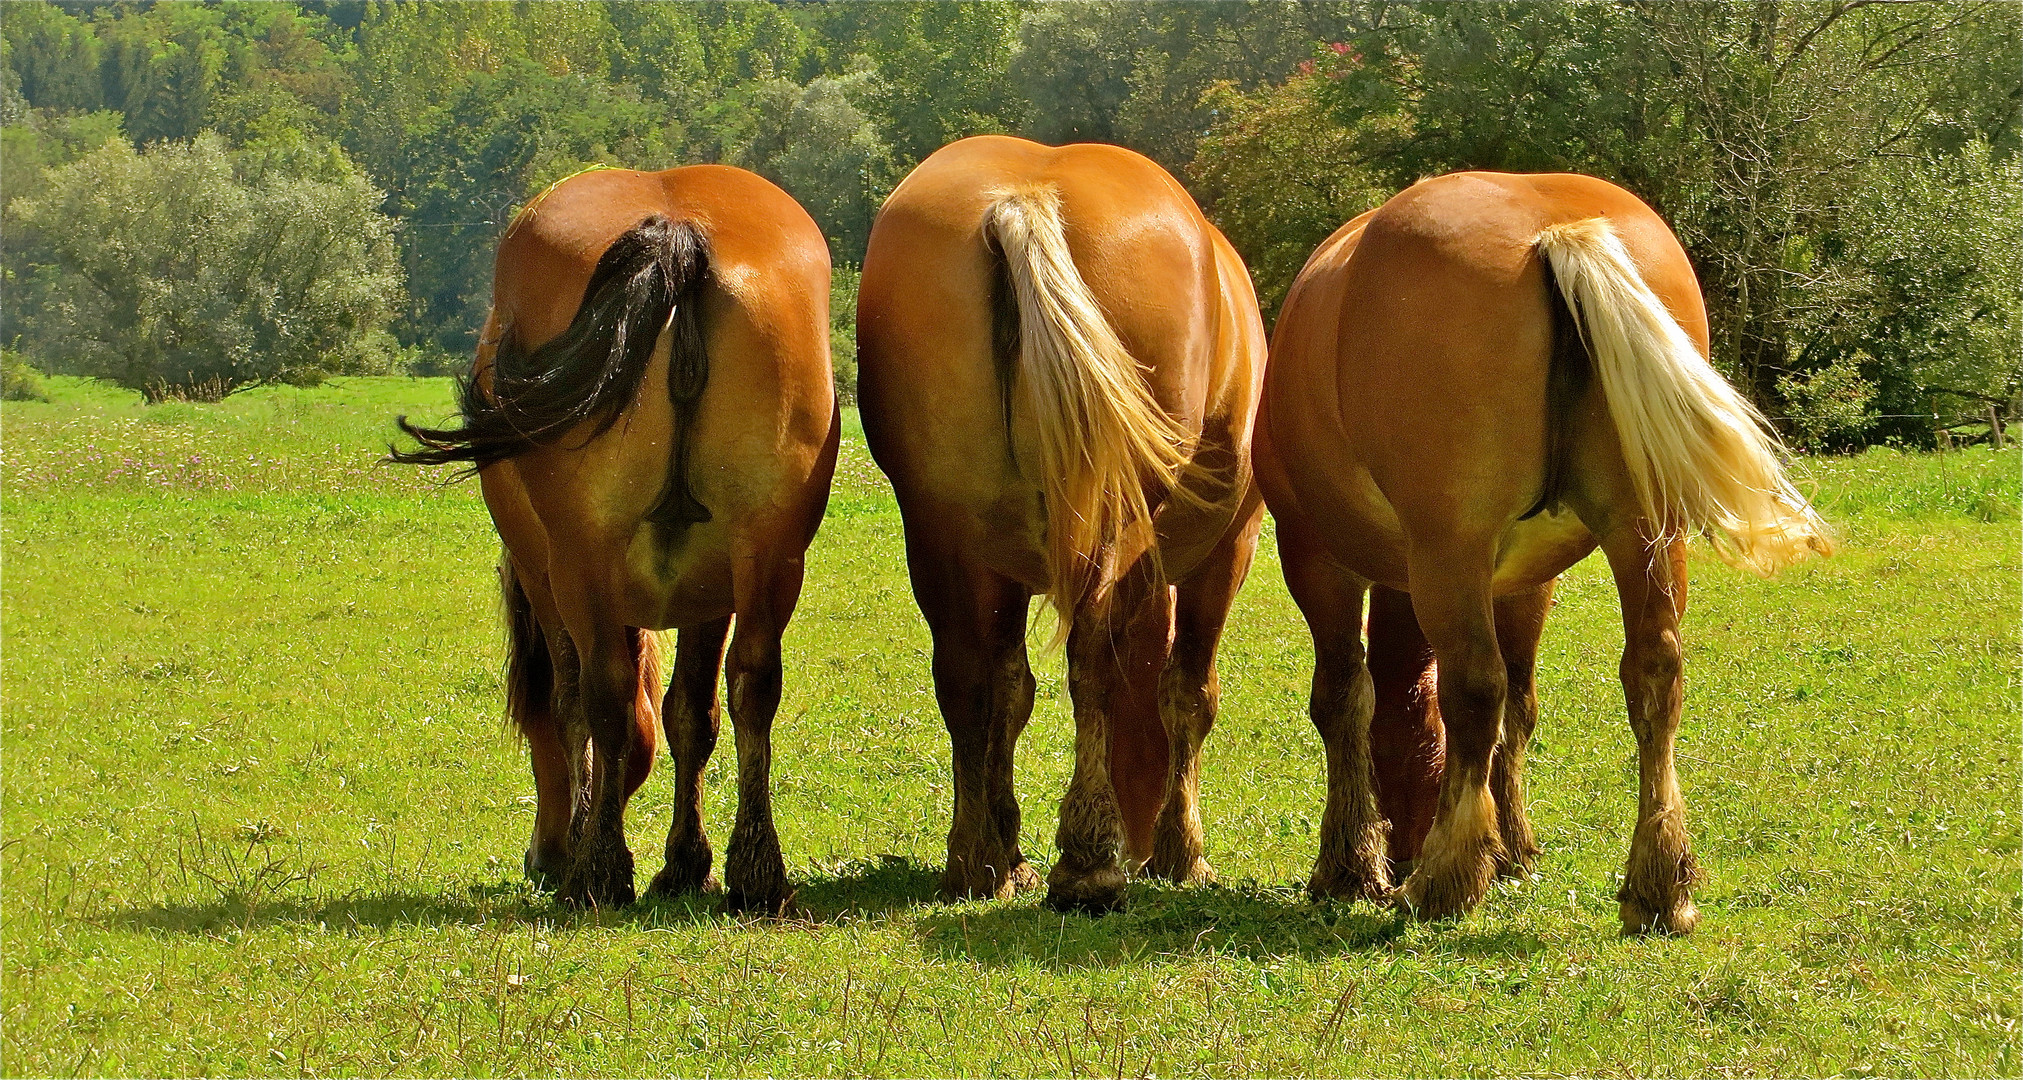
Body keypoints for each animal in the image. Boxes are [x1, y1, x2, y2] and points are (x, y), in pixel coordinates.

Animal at [394, 166, 837, 914]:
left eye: (525, 727)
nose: (537, 854)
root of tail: (676, 234)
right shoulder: (712, 594)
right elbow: (691, 714)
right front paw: (686, 861)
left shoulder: (548, 582)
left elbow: (575, 707)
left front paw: (582, 841)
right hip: (769, 555)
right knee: (753, 686)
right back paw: (756, 873)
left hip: (583, 564)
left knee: (602, 692)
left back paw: (596, 872)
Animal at [1246, 173, 1836, 934]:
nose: (1405, 847)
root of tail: (1558, 231)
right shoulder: (1525, 579)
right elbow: (1520, 709)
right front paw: (1512, 849)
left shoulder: (1316, 558)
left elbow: (1345, 699)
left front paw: (1348, 865)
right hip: (1644, 535)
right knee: (1654, 677)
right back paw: (1659, 882)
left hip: (1451, 552)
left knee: (1473, 689)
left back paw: (1445, 879)